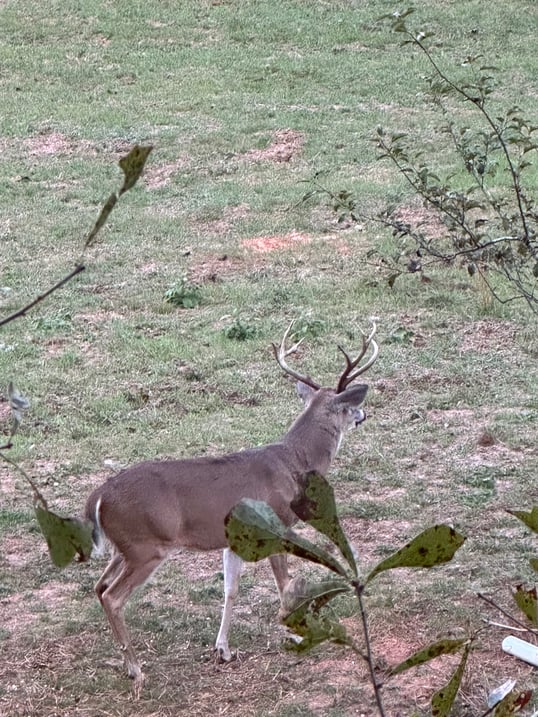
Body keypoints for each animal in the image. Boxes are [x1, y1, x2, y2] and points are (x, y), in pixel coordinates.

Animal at [85, 324, 376, 692]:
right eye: (349, 407)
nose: (364, 414)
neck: (293, 463)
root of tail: (99, 496)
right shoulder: (276, 523)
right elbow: (284, 585)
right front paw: (297, 637)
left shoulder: (235, 536)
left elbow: (231, 590)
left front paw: (222, 649)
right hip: (146, 546)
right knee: (113, 596)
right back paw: (136, 668)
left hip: (122, 548)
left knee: (99, 587)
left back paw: (127, 663)